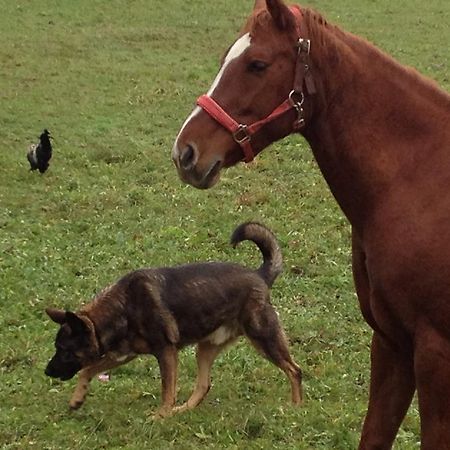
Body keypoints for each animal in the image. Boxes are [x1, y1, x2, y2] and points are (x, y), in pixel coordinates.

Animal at [45, 223, 302, 416]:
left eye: (65, 350)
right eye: (57, 348)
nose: (47, 372)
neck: (122, 307)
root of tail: (260, 275)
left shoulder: (166, 352)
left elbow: (167, 391)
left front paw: (161, 417)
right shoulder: (123, 355)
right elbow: (87, 371)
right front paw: (77, 399)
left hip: (264, 339)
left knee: (295, 370)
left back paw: (296, 407)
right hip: (205, 348)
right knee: (204, 385)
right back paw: (183, 410)